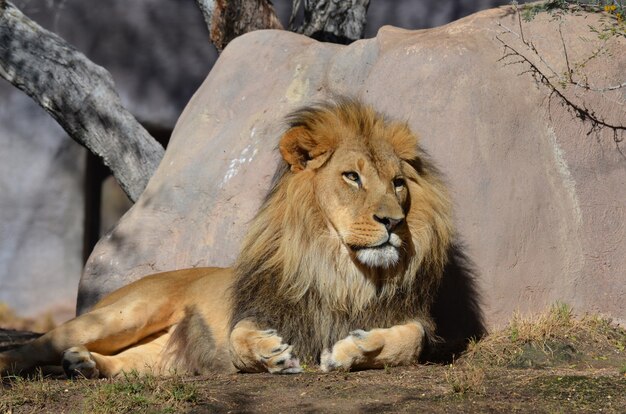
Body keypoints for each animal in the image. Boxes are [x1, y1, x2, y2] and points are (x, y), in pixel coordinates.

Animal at [0, 98, 450, 378]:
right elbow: (237, 336)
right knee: (37, 345)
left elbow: (409, 342)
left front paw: (353, 349)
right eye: (352, 177)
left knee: (125, 362)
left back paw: (85, 365)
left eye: (397, 183)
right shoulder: (260, 307)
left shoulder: (413, 319)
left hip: (160, 357)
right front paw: (269, 354)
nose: (393, 221)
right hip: (124, 314)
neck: (340, 272)